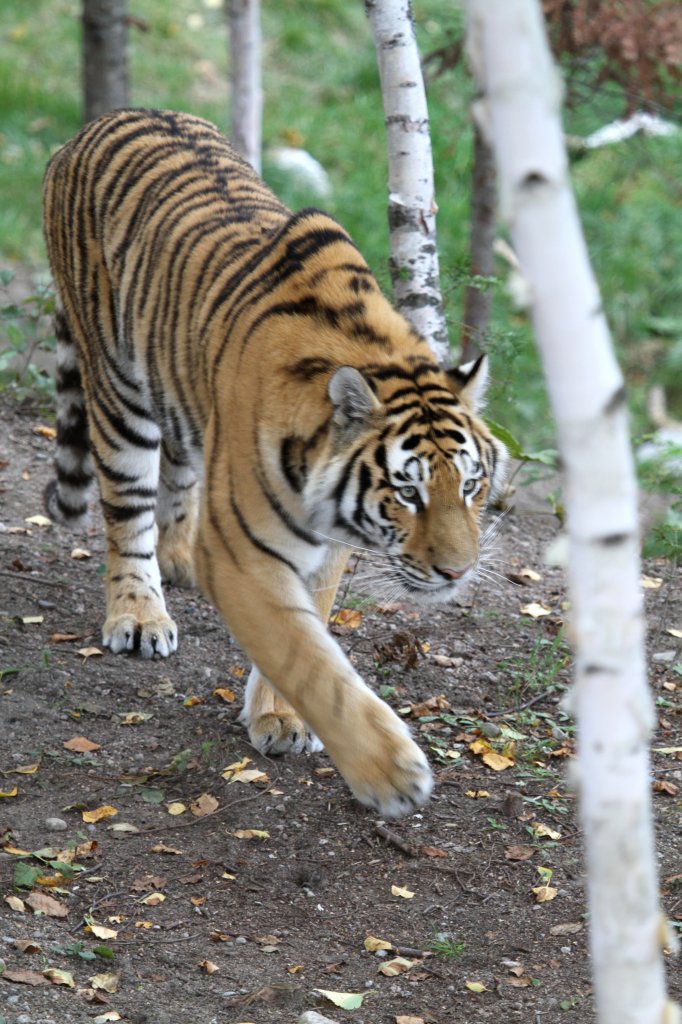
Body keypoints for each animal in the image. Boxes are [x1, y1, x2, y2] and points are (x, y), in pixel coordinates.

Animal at [41, 110, 503, 815]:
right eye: (408, 492)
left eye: (472, 485)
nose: (458, 572)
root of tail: (93, 126)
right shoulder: (240, 553)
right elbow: (306, 655)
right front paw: (391, 773)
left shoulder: (328, 543)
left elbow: (309, 633)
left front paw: (281, 717)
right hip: (118, 391)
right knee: (126, 514)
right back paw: (140, 615)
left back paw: (177, 557)